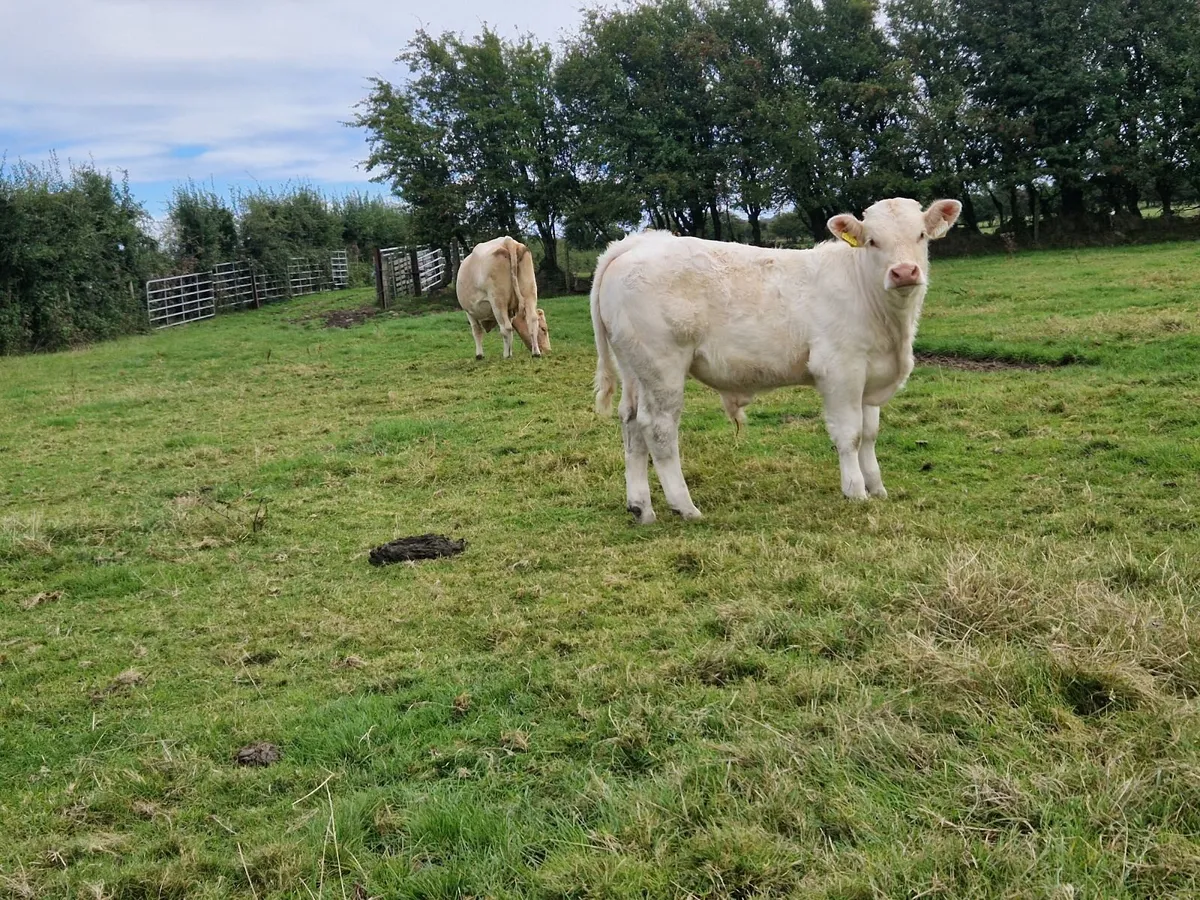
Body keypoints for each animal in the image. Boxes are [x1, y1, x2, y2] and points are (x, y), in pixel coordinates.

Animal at [591, 197, 962, 523]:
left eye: (921, 235)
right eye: (872, 241)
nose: (904, 272)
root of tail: (639, 242)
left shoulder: (870, 375)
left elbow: (869, 434)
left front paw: (877, 487)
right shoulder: (840, 369)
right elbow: (850, 435)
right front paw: (855, 491)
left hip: (634, 367)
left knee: (632, 424)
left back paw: (641, 508)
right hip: (662, 366)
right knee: (659, 428)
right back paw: (685, 507)